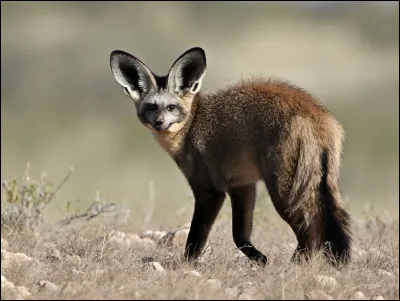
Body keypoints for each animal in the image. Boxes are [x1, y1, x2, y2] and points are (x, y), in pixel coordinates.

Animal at [108, 46, 350, 264]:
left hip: (283, 193)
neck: (192, 124)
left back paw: (295, 265)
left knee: (309, 229)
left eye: (171, 108)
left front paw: (184, 267)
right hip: (319, 186)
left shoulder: (210, 191)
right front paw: (260, 259)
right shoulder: (242, 186)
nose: (159, 123)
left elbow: (194, 241)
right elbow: (239, 237)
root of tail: (313, 111)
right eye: (151, 107)